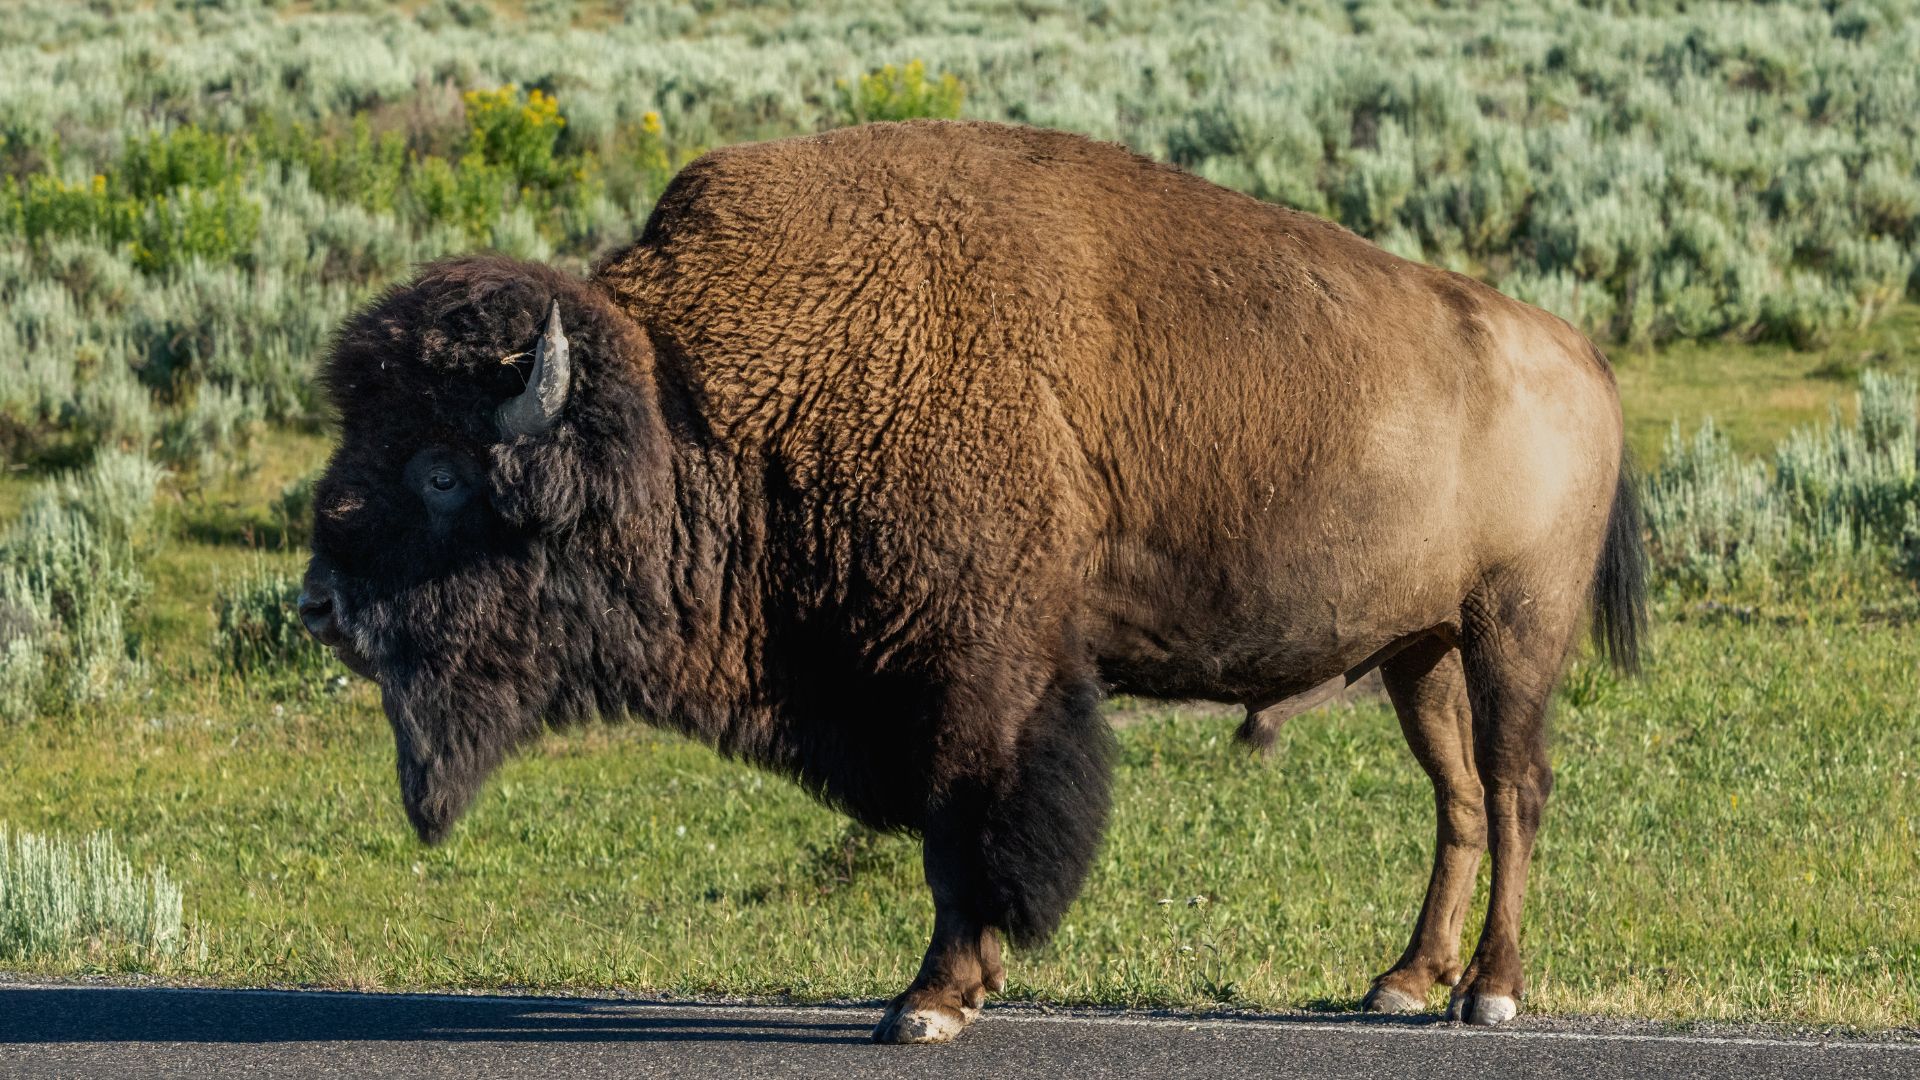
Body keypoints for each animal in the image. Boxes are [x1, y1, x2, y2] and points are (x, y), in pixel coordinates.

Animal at [300, 120, 1645, 1042]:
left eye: (437, 469)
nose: (317, 605)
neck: (694, 400)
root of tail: (1573, 352)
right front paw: (958, 989)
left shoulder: (973, 672)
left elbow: (969, 831)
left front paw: (931, 1003)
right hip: (1420, 652)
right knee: (1458, 798)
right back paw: (1402, 982)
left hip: (1513, 633)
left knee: (1516, 790)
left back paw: (1491, 994)